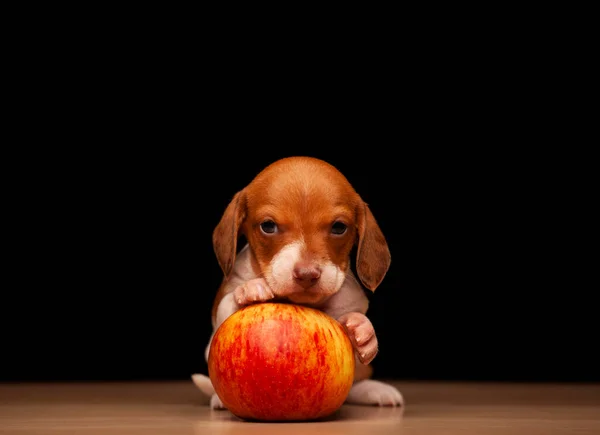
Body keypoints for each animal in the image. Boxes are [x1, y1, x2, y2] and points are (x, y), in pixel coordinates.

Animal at [192, 156, 404, 408]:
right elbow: (228, 305)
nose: (307, 274)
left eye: (339, 227)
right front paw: (249, 291)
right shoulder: (217, 325)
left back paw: (375, 390)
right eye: (268, 226)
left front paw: (363, 331)